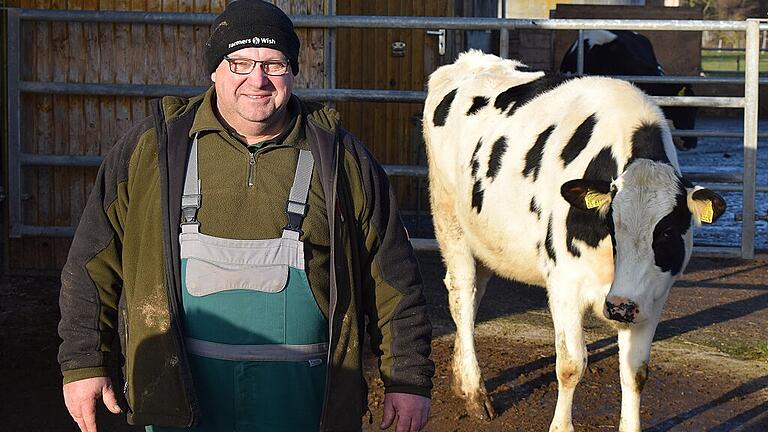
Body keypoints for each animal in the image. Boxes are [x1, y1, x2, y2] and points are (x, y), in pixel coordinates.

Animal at [424, 50, 724, 432]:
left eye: (667, 231)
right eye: (611, 223)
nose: (620, 307)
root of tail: (467, 61)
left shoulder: (652, 297)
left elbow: (635, 372)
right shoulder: (564, 284)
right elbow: (570, 365)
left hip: (486, 238)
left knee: (475, 295)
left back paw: (460, 377)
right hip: (450, 219)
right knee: (462, 295)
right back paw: (476, 393)